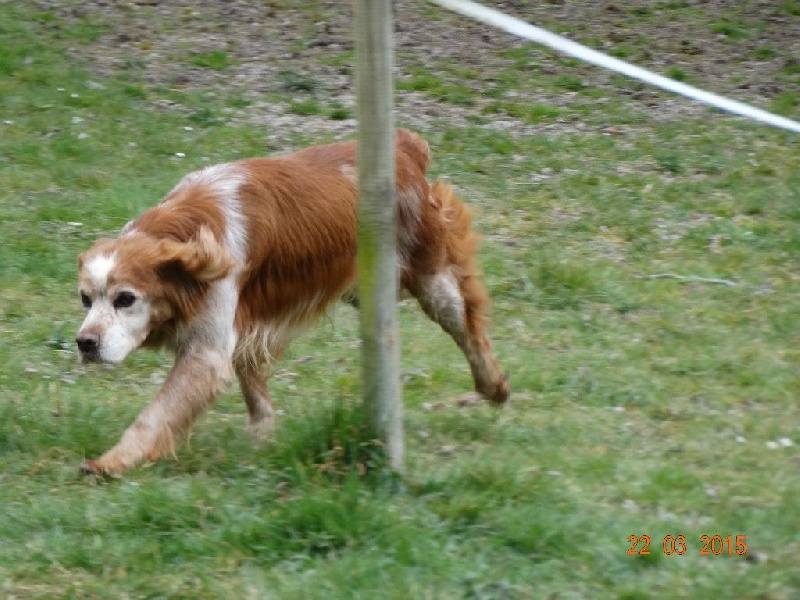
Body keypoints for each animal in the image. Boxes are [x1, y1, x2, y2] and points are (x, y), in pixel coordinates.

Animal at [75, 129, 509, 476]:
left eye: (125, 299)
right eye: (85, 299)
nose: (85, 343)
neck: (188, 229)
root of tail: (404, 149)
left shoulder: (206, 350)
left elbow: (156, 415)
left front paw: (111, 461)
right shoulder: (240, 326)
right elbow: (252, 386)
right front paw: (261, 434)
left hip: (433, 283)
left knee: (470, 329)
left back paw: (493, 387)